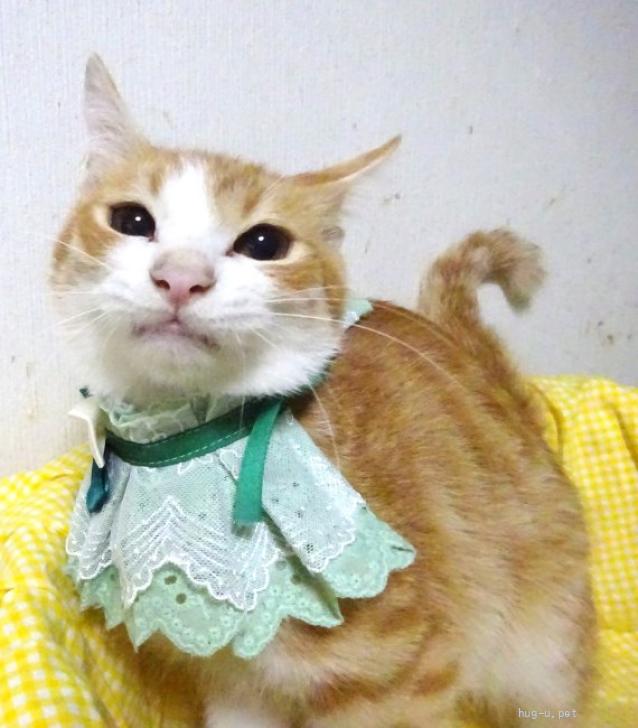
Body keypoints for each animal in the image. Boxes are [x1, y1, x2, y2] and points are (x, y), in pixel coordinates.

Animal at [51, 55, 594, 727]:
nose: (180, 277)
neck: (198, 450)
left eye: (264, 243)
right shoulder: (238, 684)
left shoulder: (403, 680)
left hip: (545, 655)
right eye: (132, 221)